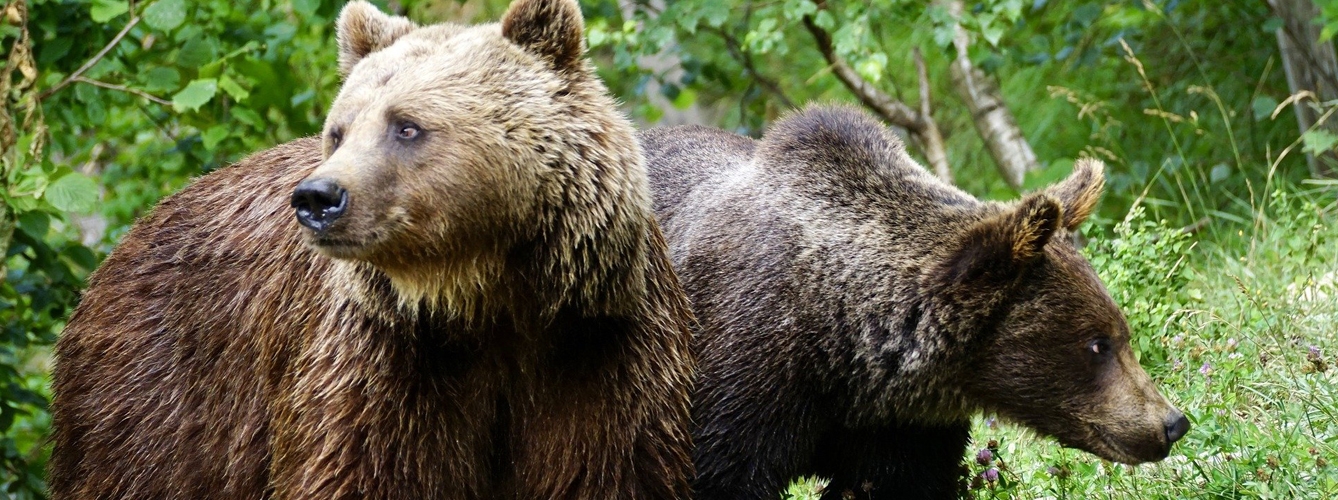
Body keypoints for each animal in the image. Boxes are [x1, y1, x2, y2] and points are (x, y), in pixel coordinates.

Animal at [48, 1, 695, 498]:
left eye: (406, 126)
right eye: (338, 130)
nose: (317, 197)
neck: (487, 297)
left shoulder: (597, 352)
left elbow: (606, 468)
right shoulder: (381, 362)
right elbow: (359, 469)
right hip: (164, 389)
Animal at [639, 106, 1189, 500]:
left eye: (1120, 332)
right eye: (1097, 344)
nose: (1172, 423)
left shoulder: (903, 428)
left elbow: (897, 482)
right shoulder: (742, 373)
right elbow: (720, 472)